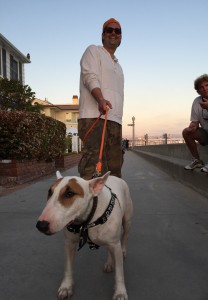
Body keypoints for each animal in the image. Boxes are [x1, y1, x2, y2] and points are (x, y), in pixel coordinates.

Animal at [36, 171, 133, 300]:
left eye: (69, 193)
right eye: (50, 192)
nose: (41, 225)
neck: (87, 220)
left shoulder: (114, 243)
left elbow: (119, 272)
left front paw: (120, 293)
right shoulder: (69, 243)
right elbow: (68, 267)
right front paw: (66, 287)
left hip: (127, 222)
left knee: (124, 237)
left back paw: (122, 252)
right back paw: (109, 263)